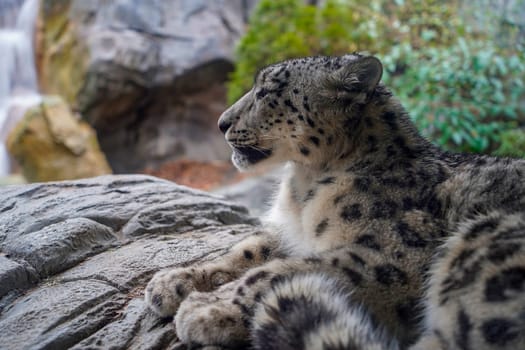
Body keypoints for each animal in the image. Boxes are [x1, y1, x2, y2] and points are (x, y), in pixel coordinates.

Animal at [144, 53, 524, 348]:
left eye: (267, 91)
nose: (221, 123)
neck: (303, 189)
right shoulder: (290, 231)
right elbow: (248, 250)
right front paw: (172, 281)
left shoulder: (395, 257)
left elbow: (279, 271)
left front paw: (206, 309)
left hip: (483, 243)